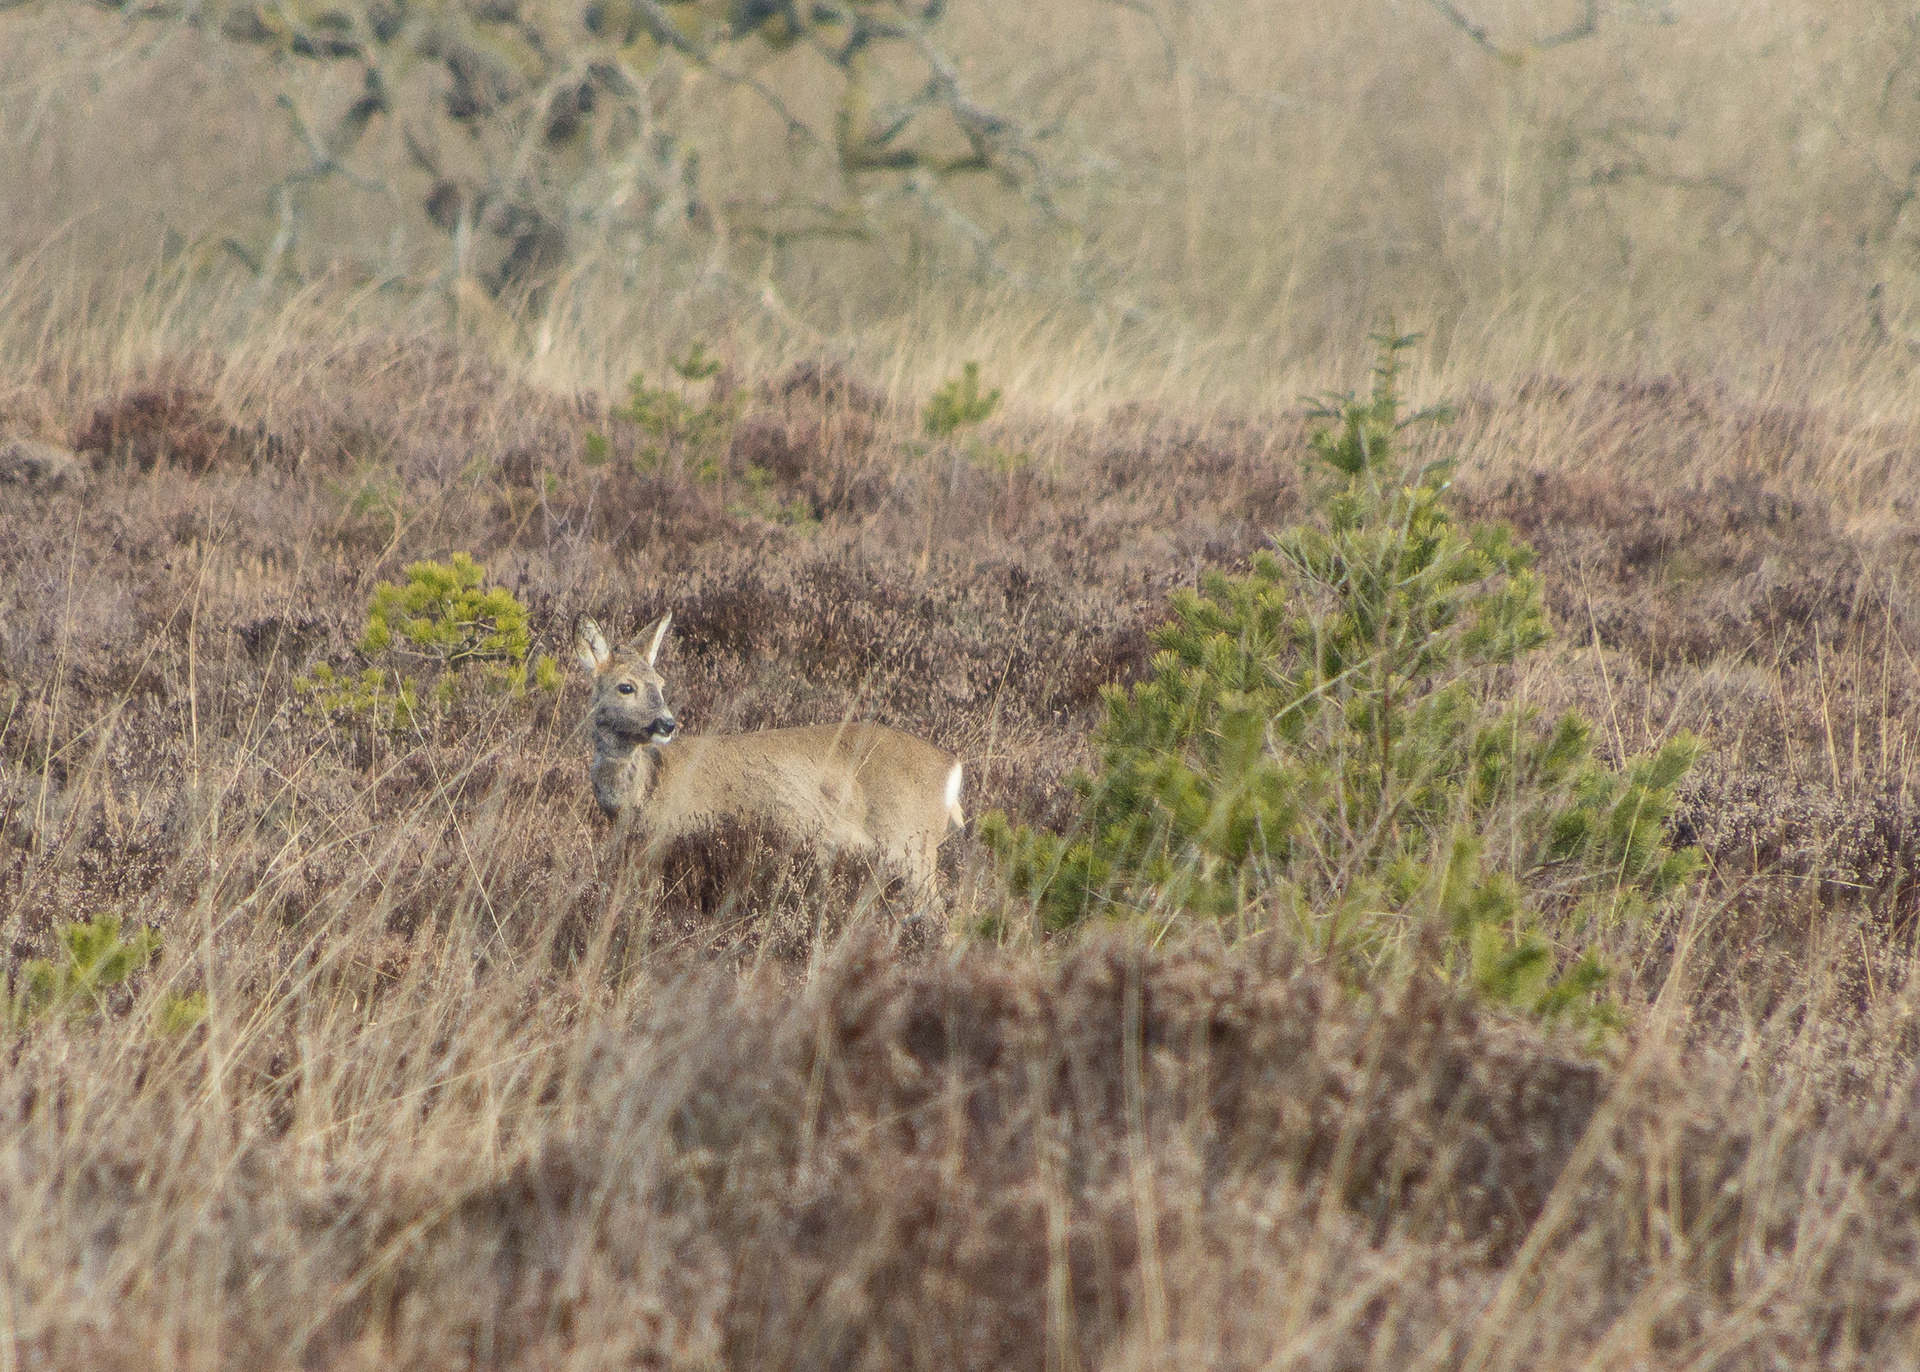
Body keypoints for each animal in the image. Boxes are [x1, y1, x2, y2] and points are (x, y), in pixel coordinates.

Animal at [573, 612, 965, 896]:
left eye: (661, 683)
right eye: (626, 687)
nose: (667, 724)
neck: (641, 791)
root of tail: (952, 766)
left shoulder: (670, 837)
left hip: (911, 844)